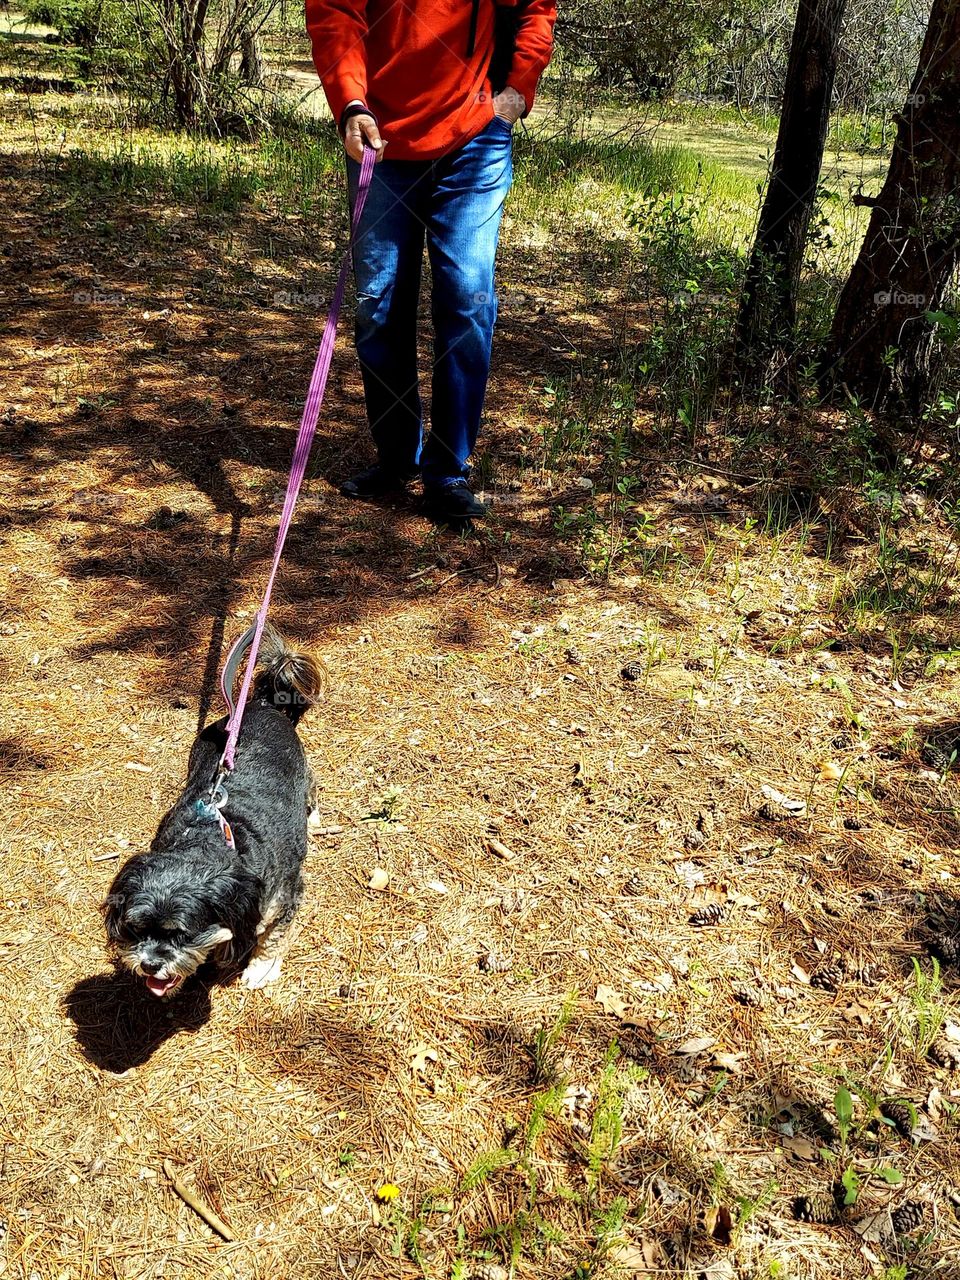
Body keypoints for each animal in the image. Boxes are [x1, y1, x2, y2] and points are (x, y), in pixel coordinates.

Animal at [103, 624, 325, 993]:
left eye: (181, 933)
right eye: (136, 928)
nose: (149, 964)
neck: (213, 839)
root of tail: (259, 705)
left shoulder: (284, 897)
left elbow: (273, 937)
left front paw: (261, 968)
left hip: (301, 770)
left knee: (311, 787)